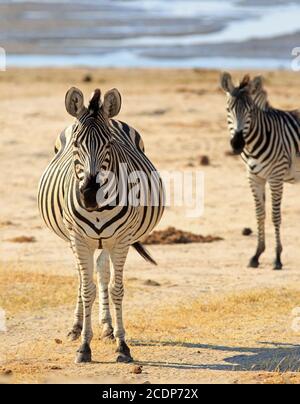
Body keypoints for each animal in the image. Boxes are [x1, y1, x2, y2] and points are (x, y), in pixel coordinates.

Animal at [37, 87, 165, 362]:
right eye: (76, 144)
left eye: (109, 144)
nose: (89, 195)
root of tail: (113, 118)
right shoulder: (78, 239)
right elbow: (87, 289)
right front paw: (84, 346)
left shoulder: (122, 240)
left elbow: (116, 289)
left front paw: (122, 345)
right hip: (78, 239)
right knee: (83, 276)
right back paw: (76, 327)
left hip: (107, 241)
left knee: (103, 271)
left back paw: (107, 326)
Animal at [220, 72, 300, 272]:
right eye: (228, 109)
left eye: (250, 111)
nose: (237, 144)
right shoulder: (254, 178)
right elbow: (260, 214)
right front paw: (256, 255)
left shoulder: (276, 177)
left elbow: (275, 216)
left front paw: (277, 258)